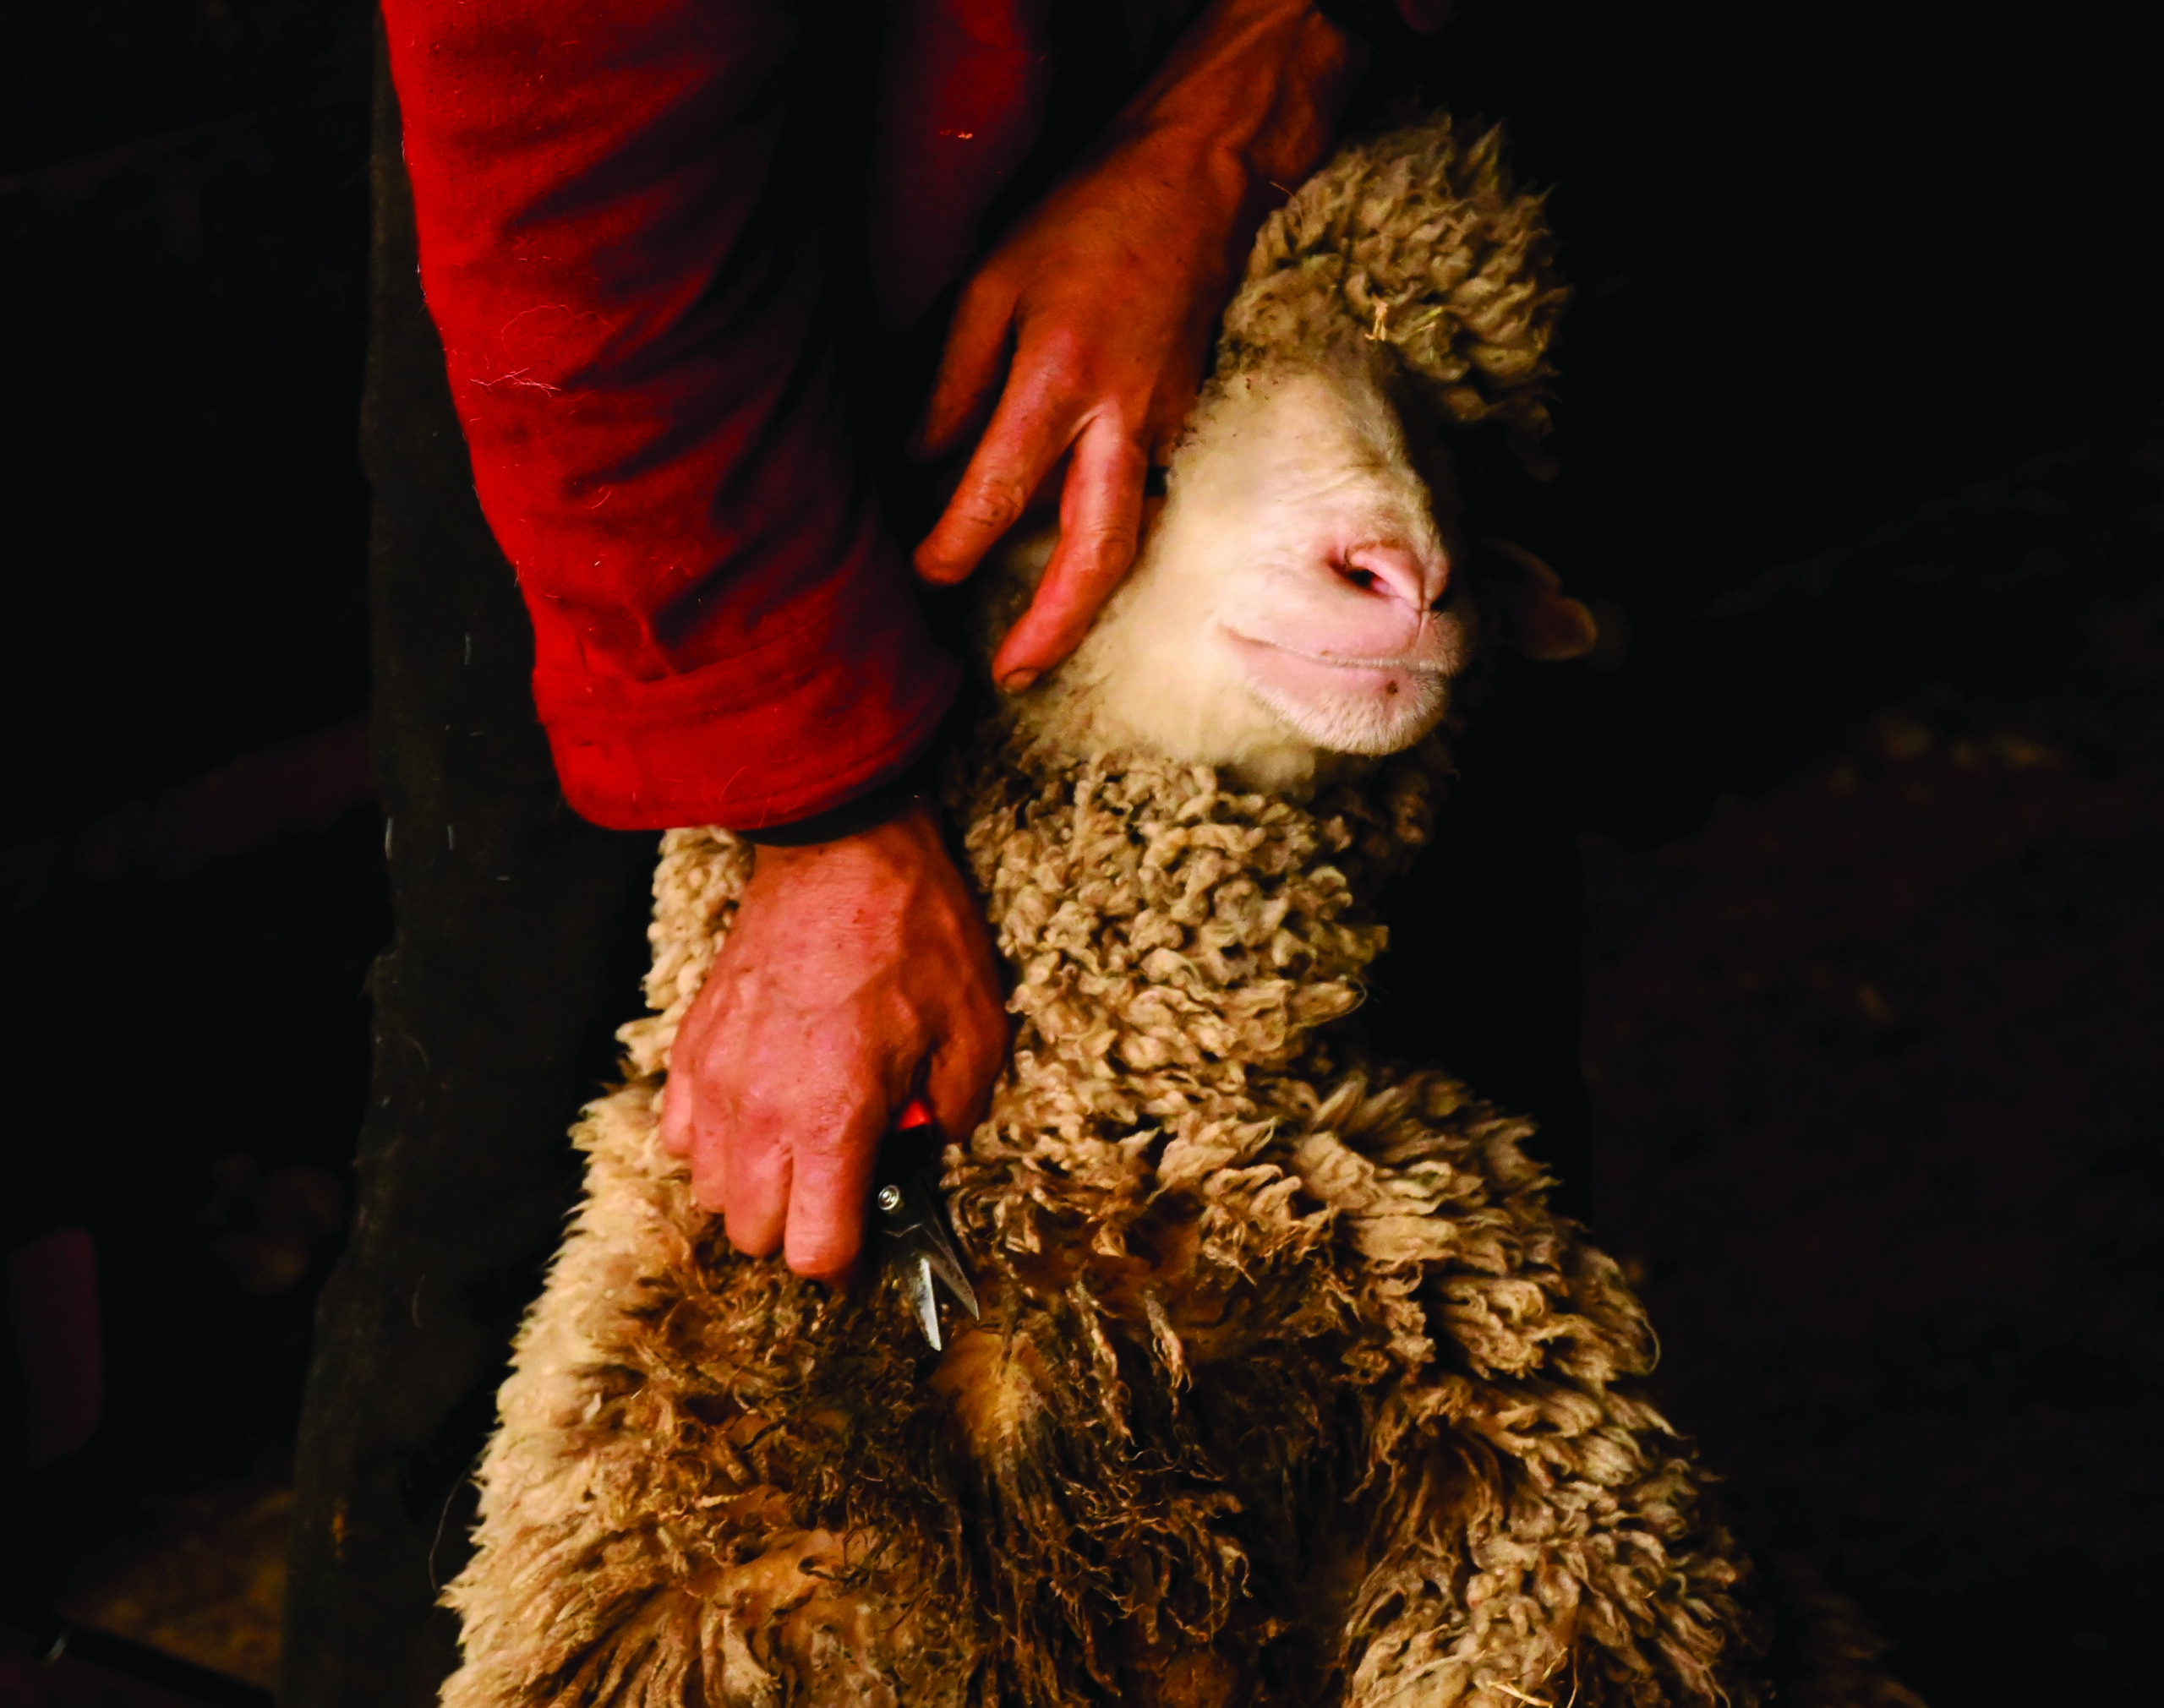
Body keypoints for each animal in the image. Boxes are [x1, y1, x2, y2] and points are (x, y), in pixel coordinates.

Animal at [440, 116, 1918, 1708]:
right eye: (1124, 468)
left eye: (1449, 450)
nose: (1407, 574)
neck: (1097, 1146)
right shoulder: (687, 1557)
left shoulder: (1537, 1488)